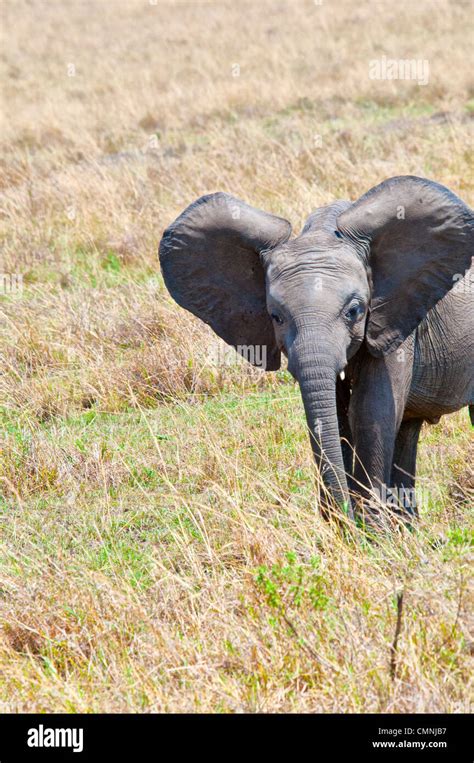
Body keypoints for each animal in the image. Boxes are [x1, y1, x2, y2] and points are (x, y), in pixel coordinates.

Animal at [160, 178, 474, 524]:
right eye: (276, 317)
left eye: (354, 311)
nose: (341, 515)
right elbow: (336, 415)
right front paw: (345, 528)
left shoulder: (393, 317)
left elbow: (370, 410)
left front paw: (370, 531)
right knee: (407, 430)